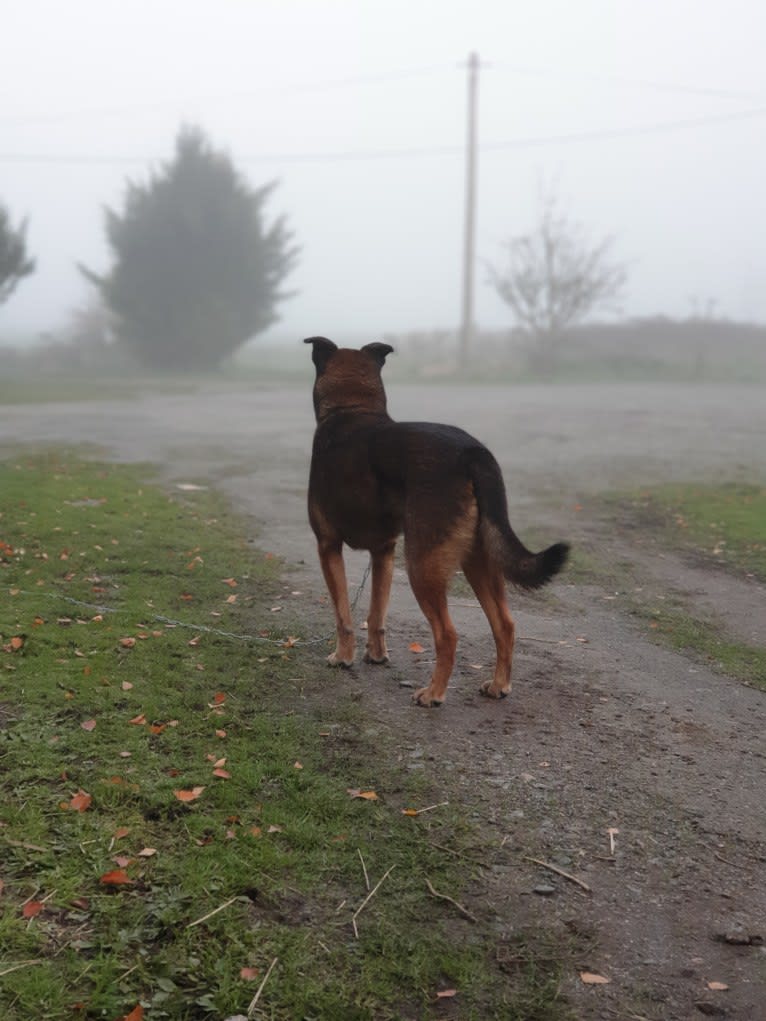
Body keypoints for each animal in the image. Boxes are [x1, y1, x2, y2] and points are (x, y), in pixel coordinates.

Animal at [306, 338, 571, 706]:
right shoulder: (384, 553)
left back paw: (434, 693)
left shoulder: (328, 547)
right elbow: (376, 613)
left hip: (422, 566)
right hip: (478, 561)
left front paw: (342, 657)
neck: (352, 408)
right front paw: (376, 655)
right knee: (505, 625)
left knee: (448, 634)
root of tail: (473, 452)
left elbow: (343, 615)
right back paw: (498, 685)